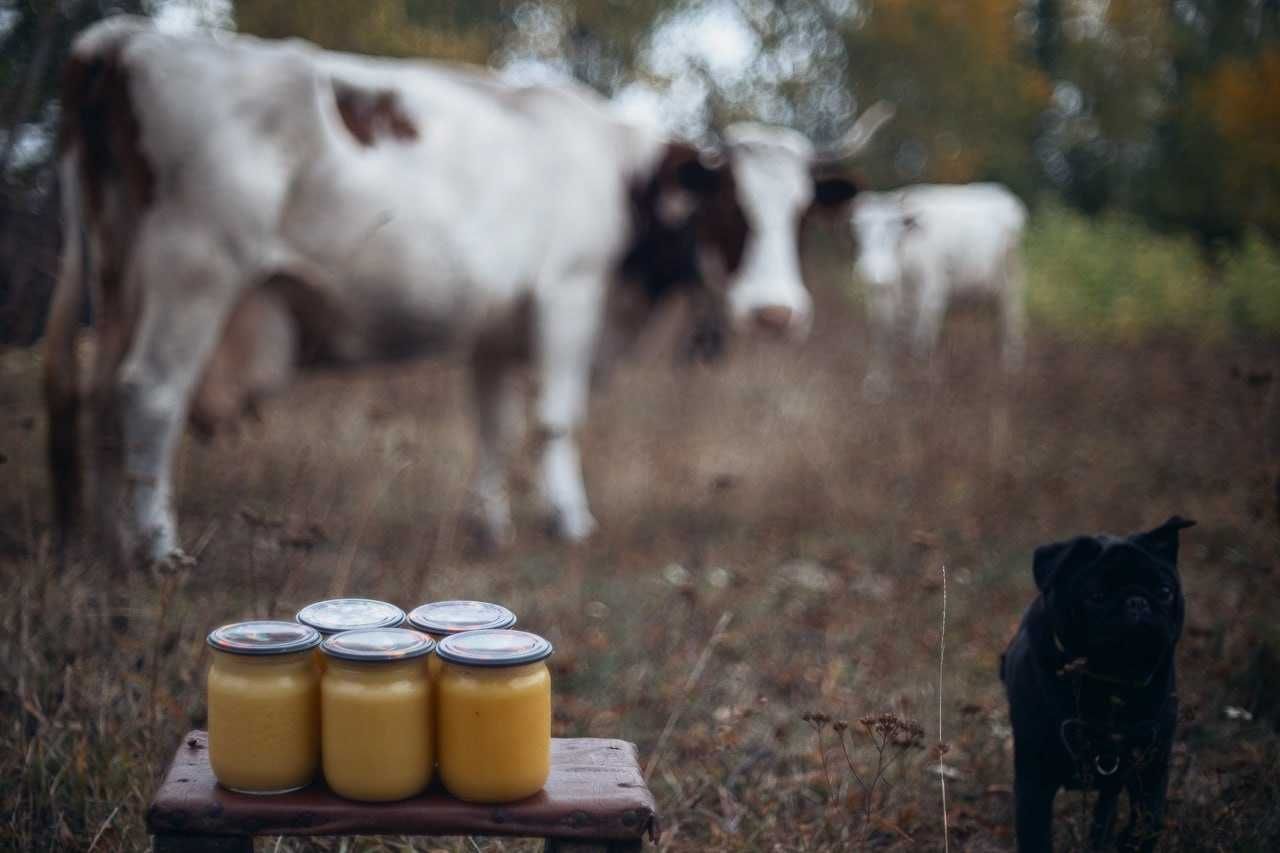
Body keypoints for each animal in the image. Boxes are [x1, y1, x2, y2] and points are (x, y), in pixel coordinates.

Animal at [47, 16, 890, 563]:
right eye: (730, 209)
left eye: (801, 215)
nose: (776, 312)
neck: (618, 176)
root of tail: (128, 40)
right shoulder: (568, 298)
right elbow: (554, 420)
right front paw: (569, 520)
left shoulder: (496, 329)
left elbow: (494, 426)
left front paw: (490, 526)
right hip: (196, 268)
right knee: (150, 393)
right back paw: (158, 547)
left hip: (117, 276)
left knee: (97, 394)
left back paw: (111, 540)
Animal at [849, 183, 1029, 394]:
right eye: (859, 228)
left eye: (895, 226)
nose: (876, 273)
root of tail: (1002, 192)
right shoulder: (881, 297)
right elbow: (882, 335)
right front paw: (878, 380)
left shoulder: (933, 289)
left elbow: (922, 335)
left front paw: (925, 375)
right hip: (984, 275)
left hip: (1011, 269)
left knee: (1012, 308)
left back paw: (1012, 356)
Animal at [998, 514, 1198, 845]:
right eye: (1097, 596)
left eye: (1165, 592)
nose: (1136, 602)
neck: (1110, 681)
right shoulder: (1034, 781)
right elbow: (1036, 836)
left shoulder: (1151, 770)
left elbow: (1147, 824)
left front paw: (1128, 841)